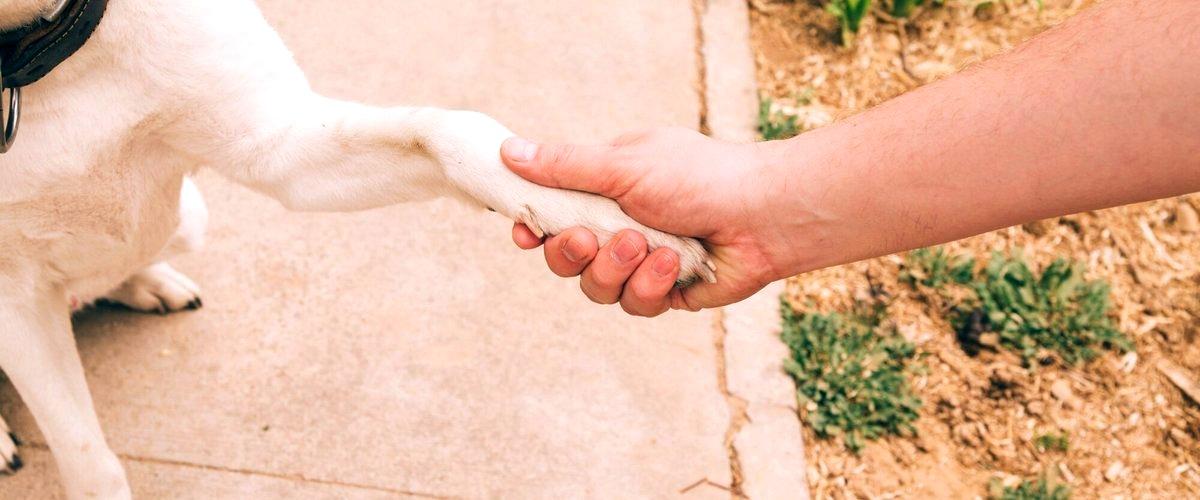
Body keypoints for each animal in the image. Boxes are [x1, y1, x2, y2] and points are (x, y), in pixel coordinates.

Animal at [0, 0, 710, 494]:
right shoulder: (16, 302)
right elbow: (90, 461)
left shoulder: (277, 145)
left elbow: (447, 129)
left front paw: (611, 218)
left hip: (191, 216)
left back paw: (146, 280)